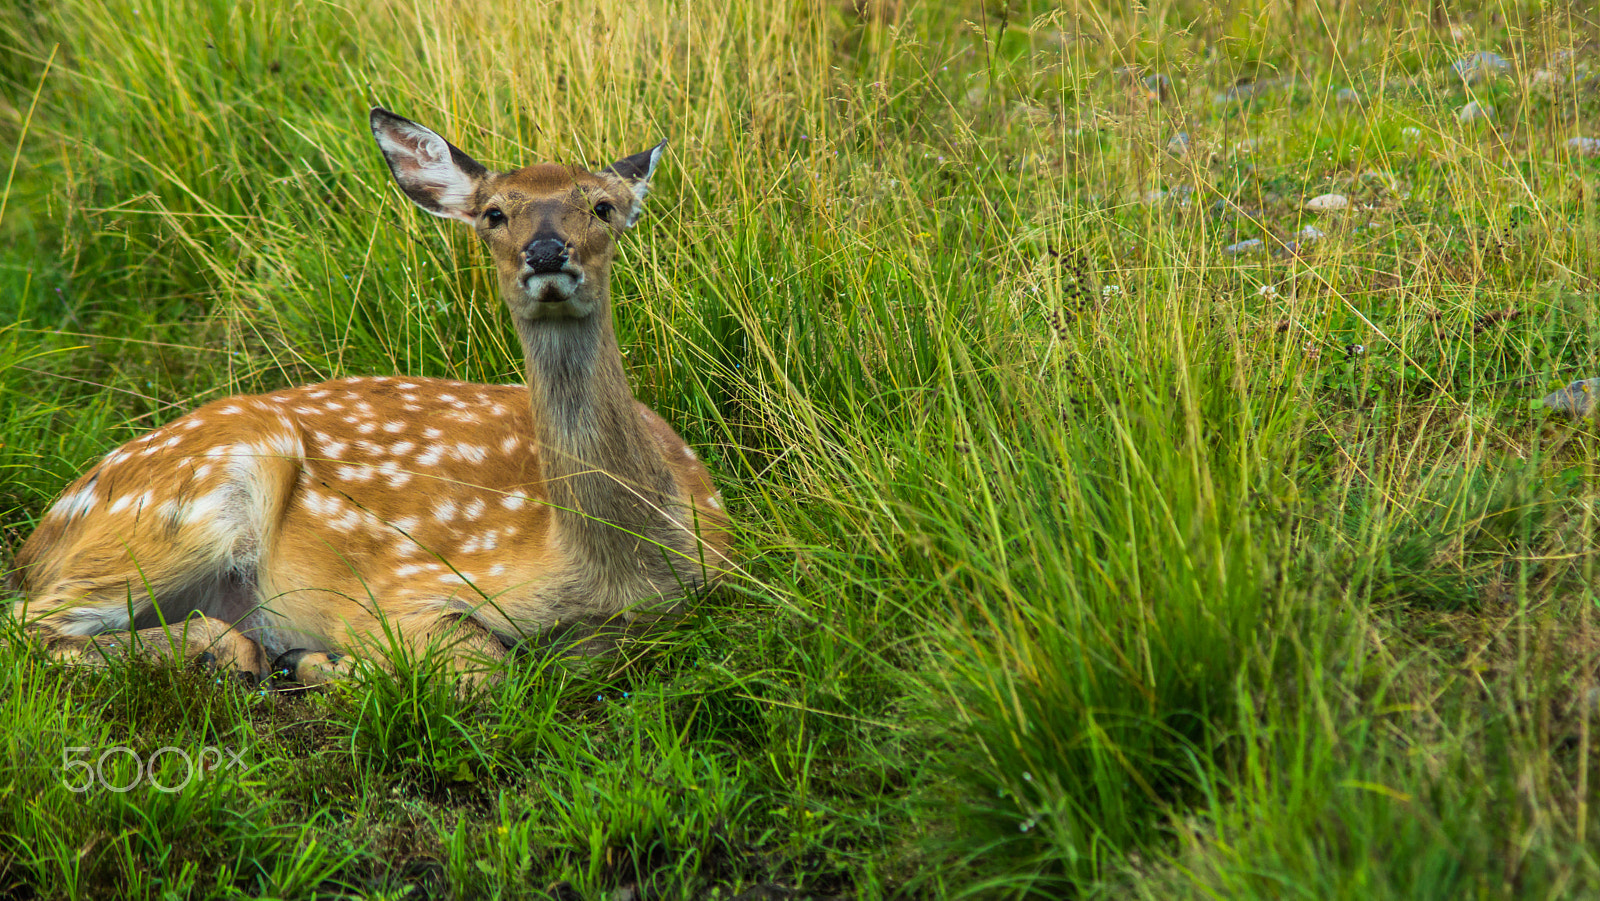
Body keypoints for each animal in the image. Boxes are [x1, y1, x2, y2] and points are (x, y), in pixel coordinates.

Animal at [4, 105, 732, 684]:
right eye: (494, 214)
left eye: (604, 208)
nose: (547, 252)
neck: (613, 569)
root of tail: (37, 543)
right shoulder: (400, 586)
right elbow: (484, 667)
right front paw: (334, 663)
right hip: (185, 501)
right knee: (28, 624)